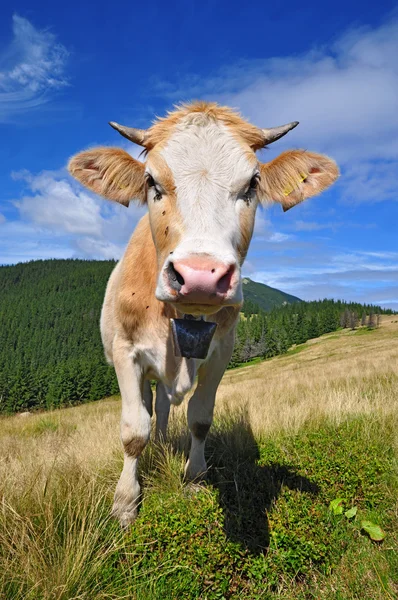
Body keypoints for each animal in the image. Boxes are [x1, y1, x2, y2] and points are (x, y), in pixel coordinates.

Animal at [69, 102, 338, 524]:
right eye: (151, 182)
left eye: (252, 184)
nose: (200, 276)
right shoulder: (125, 351)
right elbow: (133, 429)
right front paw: (125, 503)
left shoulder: (221, 352)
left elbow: (199, 418)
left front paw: (194, 478)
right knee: (149, 408)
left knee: (164, 408)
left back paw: (165, 442)